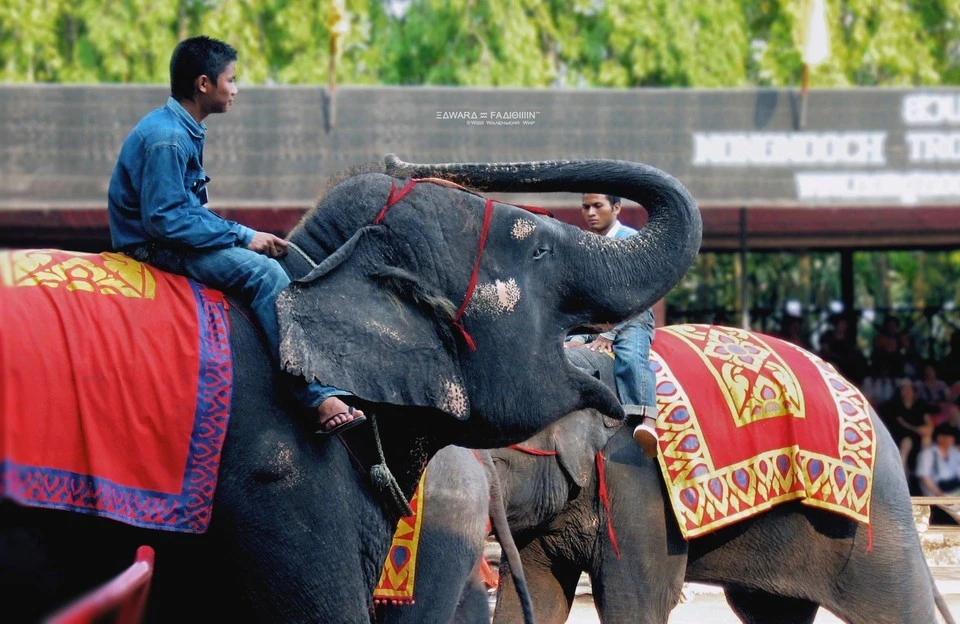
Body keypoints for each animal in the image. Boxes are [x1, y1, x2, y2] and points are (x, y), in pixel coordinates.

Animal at [492, 348, 956, 624]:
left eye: (496, 461)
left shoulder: (637, 485)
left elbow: (636, 598)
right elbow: (534, 591)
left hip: (873, 522)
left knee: (895, 605)